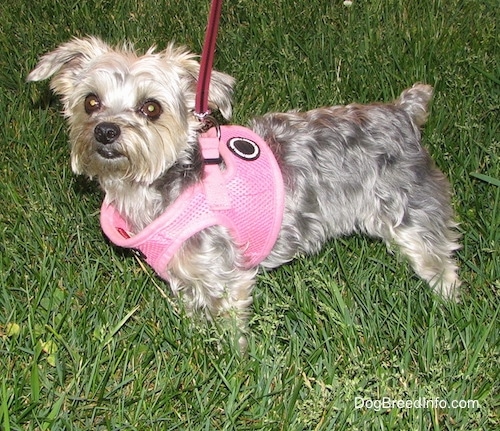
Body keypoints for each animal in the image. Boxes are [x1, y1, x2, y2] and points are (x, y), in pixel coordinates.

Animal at [28, 36, 460, 340]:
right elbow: (193, 314)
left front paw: (232, 362)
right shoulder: (186, 275)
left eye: (151, 108)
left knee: (439, 262)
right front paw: (194, 342)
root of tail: (403, 113)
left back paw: (451, 307)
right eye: (91, 102)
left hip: (410, 211)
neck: (160, 184)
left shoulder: (225, 274)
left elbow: (230, 328)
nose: (105, 131)